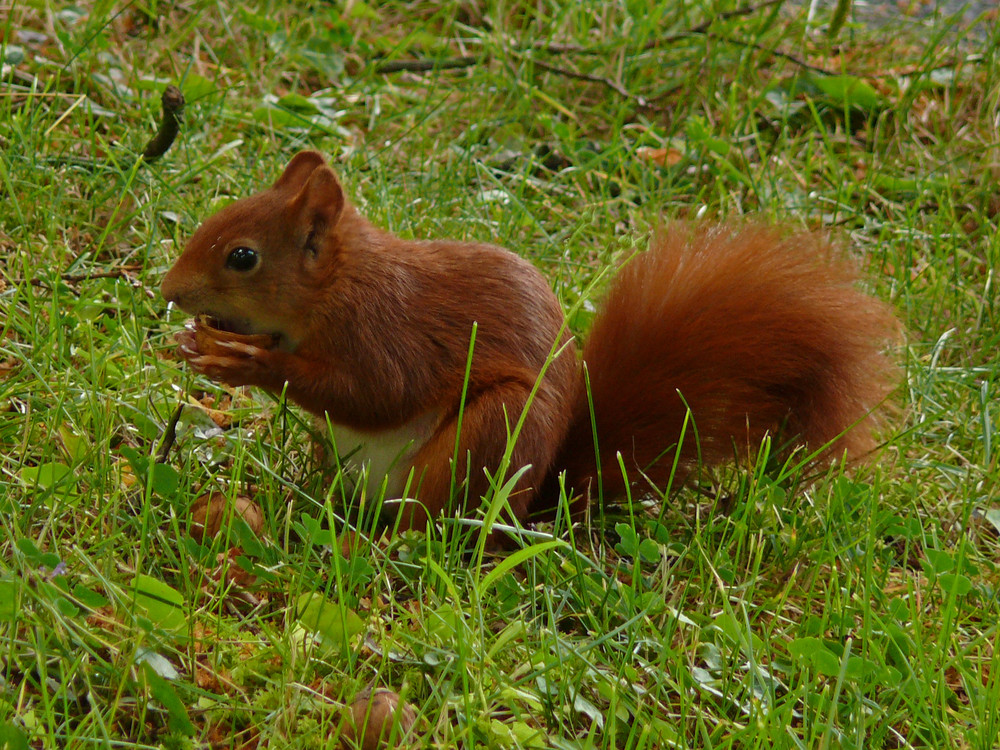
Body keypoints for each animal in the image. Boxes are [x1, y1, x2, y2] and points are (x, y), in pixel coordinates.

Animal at [162, 150, 900, 532]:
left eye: (242, 257)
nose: (170, 289)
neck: (339, 284)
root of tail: (540, 497)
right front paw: (201, 346)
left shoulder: (386, 330)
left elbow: (374, 394)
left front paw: (248, 363)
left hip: (492, 436)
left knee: (431, 523)